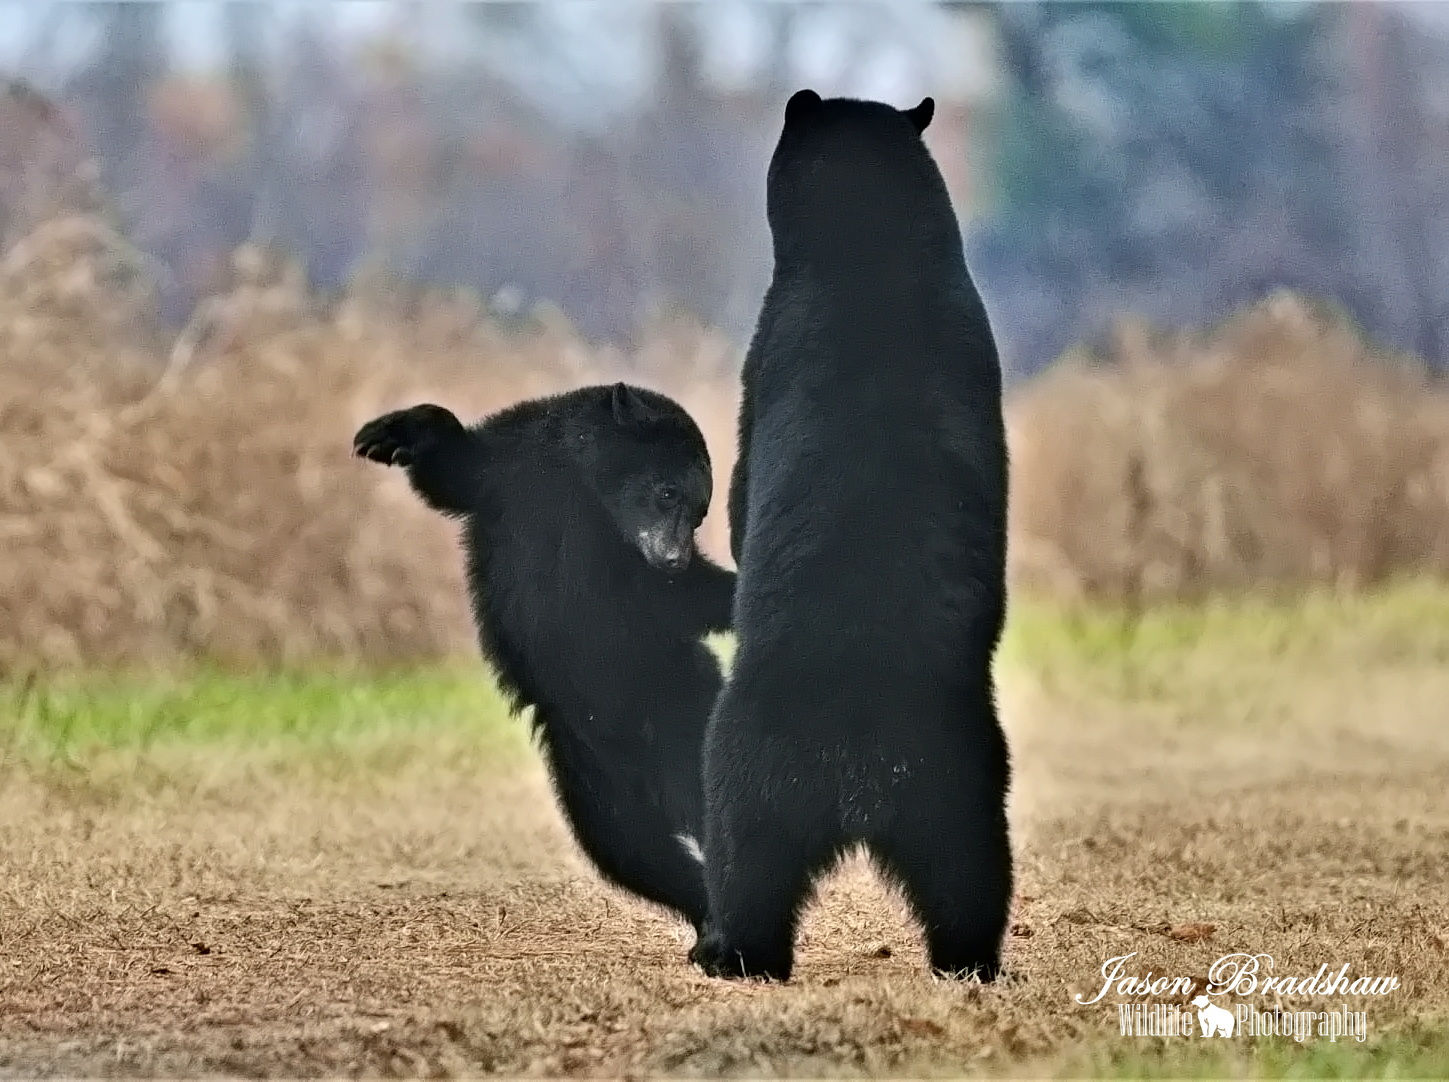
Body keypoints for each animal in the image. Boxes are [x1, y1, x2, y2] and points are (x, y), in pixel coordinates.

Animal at [353, 383, 734, 933]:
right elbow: (454, 471)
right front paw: (388, 433)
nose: (674, 558)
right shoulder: (512, 471)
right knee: (630, 844)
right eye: (667, 493)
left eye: (700, 512)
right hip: (585, 764)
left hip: (680, 701)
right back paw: (706, 913)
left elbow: (672, 600)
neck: (583, 487)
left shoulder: (629, 571)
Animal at [691, 91, 1012, 981]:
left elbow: (740, 490)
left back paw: (726, 950)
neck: (876, 254)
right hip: (963, 787)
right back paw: (970, 961)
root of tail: (865, 771)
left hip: (748, 762)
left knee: (747, 860)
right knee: (971, 880)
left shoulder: (765, 355)